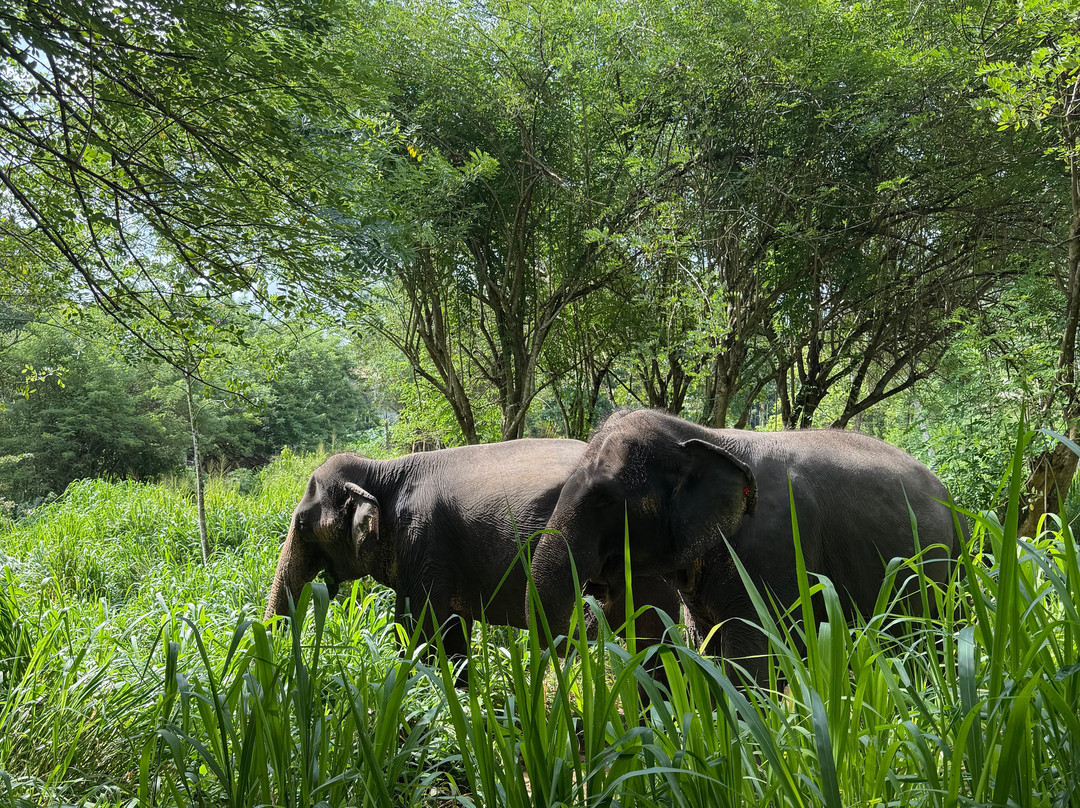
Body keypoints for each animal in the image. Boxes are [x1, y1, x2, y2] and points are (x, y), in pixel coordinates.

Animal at [531, 409, 965, 685]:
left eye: (605, 499)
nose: (596, 594)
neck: (704, 436)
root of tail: (947, 491)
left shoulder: (775, 550)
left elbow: (753, 657)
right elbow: (705, 645)